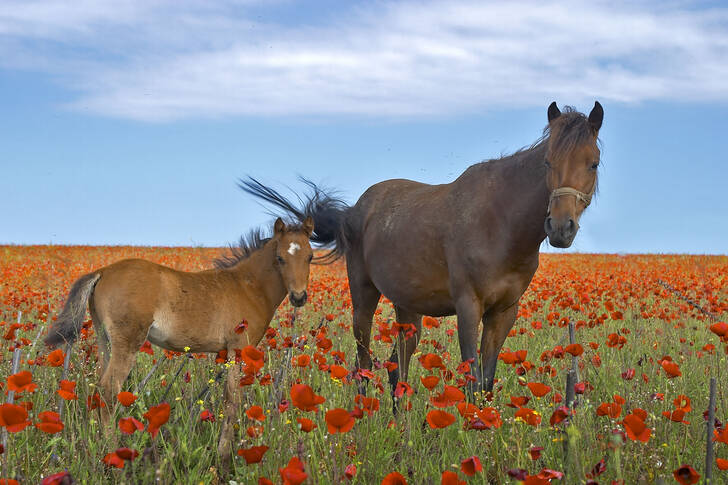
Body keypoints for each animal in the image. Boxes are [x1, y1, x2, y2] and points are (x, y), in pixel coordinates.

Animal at [44, 216, 314, 466]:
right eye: (280, 258)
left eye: (310, 257)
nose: (299, 297)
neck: (249, 287)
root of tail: (103, 272)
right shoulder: (238, 349)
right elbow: (232, 400)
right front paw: (223, 457)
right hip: (127, 343)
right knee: (109, 390)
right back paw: (112, 454)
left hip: (104, 340)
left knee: (99, 391)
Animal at [242, 101, 604, 398]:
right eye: (548, 162)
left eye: (593, 164)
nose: (560, 227)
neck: (499, 222)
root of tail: (354, 212)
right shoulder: (469, 306)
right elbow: (472, 379)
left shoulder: (504, 312)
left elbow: (486, 381)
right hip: (363, 297)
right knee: (363, 364)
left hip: (408, 309)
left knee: (396, 368)